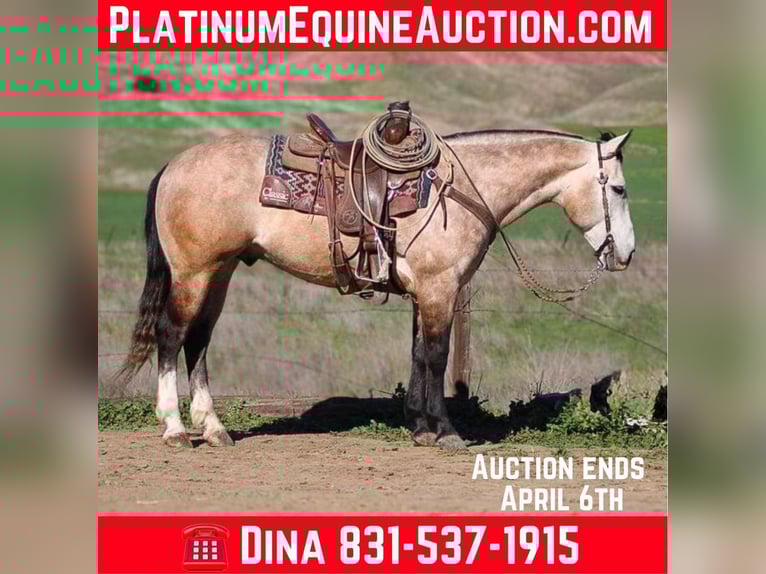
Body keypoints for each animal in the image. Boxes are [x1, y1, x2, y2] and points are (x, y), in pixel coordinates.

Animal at [116, 126, 635, 451]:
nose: (625, 253)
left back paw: (214, 428)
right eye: (620, 189)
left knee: (199, 341)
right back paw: (175, 429)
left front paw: (420, 428)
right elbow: (436, 357)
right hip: (194, 273)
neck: (461, 190)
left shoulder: (427, 295)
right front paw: (444, 432)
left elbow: (419, 357)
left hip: (218, 273)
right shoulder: (440, 290)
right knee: (171, 336)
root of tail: (173, 166)